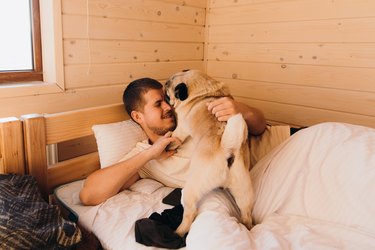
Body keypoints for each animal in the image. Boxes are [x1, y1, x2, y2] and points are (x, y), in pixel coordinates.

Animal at [165, 70, 256, 236]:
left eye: (168, 91)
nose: (164, 85)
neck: (203, 94)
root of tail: (228, 149)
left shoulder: (181, 129)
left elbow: (174, 137)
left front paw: (168, 144)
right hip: (243, 191)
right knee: (246, 215)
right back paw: (246, 226)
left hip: (191, 188)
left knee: (190, 214)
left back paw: (178, 232)